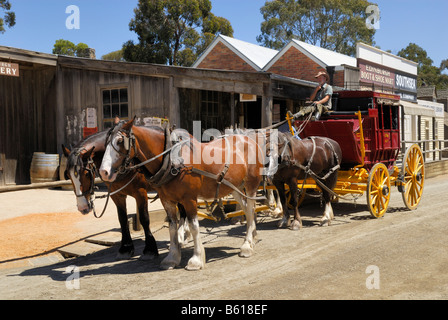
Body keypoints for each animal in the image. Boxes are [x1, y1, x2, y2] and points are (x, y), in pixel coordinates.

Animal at [62, 124, 162, 262]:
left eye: (86, 173)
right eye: (69, 175)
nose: (83, 207)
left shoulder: (140, 192)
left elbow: (144, 218)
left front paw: (150, 249)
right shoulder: (116, 195)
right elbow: (122, 219)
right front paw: (126, 248)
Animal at [100, 118, 264, 270]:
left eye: (120, 141)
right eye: (106, 142)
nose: (104, 171)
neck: (172, 161)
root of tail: (248, 139)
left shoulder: (189, 199)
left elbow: (193, 226)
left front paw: (196, 260)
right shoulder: (167, 200)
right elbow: (173, 227)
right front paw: (172, 258)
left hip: (251, 185)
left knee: (250, 209)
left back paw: (247, 245)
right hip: (234, 188)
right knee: (247, 209)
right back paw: (253, 236)